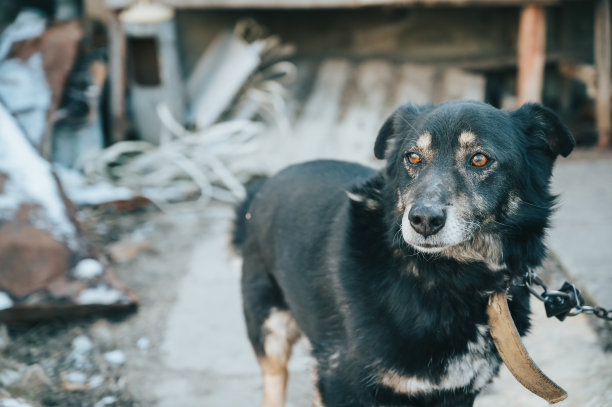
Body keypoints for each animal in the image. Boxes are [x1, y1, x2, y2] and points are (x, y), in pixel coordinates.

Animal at [233, 99, 572, 407]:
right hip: (270, 330)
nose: (423, 220)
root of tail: (265, 184)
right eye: (413, 157)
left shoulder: (457, 393)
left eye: (479, 159)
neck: (451, 278)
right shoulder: (339, 380)